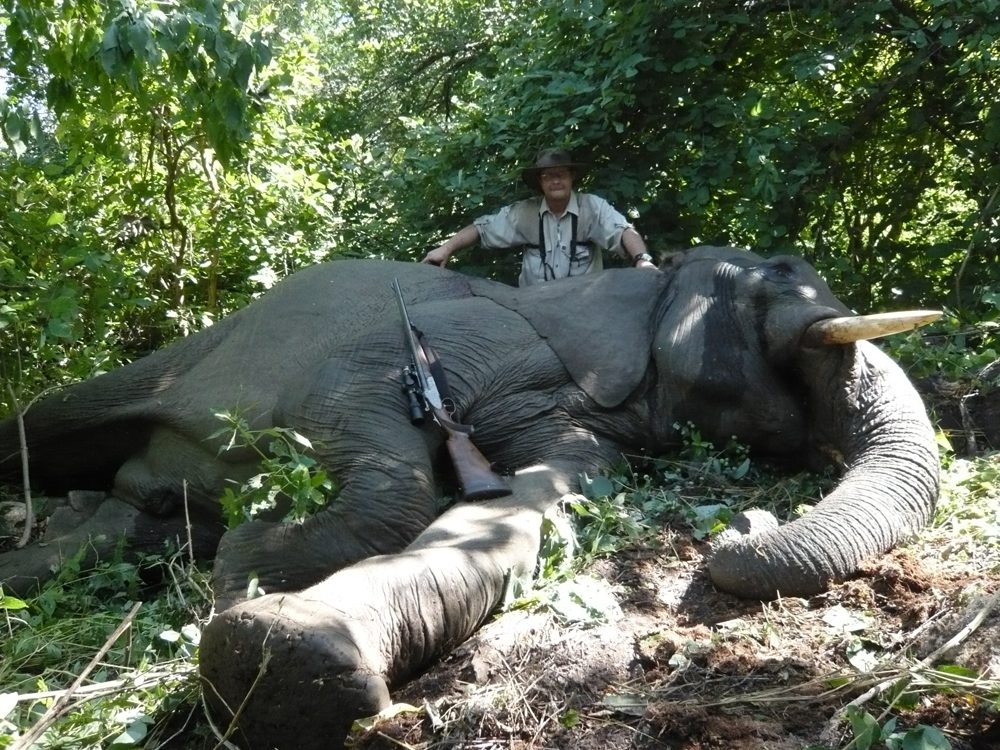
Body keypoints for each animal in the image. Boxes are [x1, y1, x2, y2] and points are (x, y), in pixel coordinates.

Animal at [0, 246, 940, 749]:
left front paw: (277, 653)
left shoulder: (578, 427)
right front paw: (250, 570)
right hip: (174, 358)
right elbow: (366, 409)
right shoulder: (448, 338)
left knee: (113, 527)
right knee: (46, 423)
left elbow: (521, 512)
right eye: (776, 272)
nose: (742, 527)